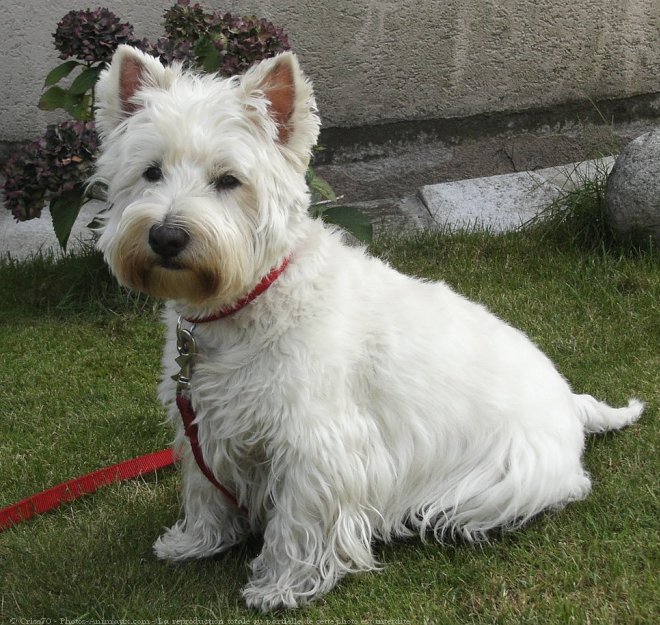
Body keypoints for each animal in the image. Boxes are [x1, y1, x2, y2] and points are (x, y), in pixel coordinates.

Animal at [94, 46, 644, 612]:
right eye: (151, 172)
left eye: (228, 180)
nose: (165, 237)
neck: (247, 301)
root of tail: (569, 400)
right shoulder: (205, 420)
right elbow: (205, 489)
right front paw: (194, 542)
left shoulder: (316, 442)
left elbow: (298, 520)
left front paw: (279, 586)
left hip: (502, 477)